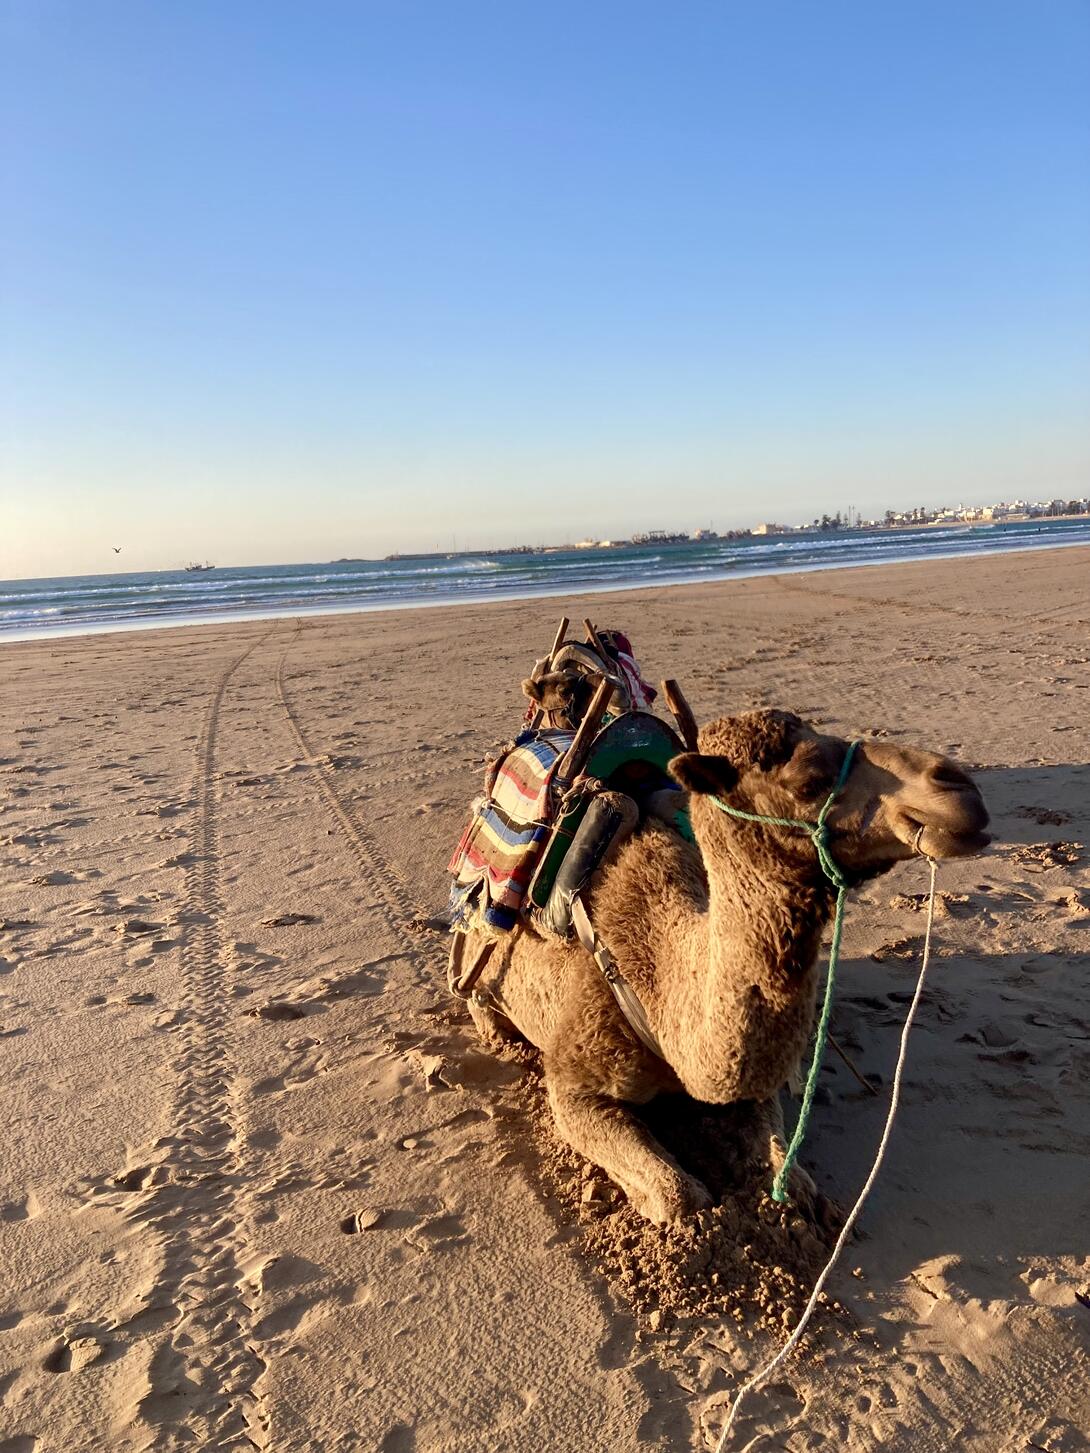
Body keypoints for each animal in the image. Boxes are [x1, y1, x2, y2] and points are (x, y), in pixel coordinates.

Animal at [457, 709, 990, 1225]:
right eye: (809, 780)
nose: (959, 787)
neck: (659, 986)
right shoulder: (573, 1081)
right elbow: (679, 1196)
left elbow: (789, 1171)